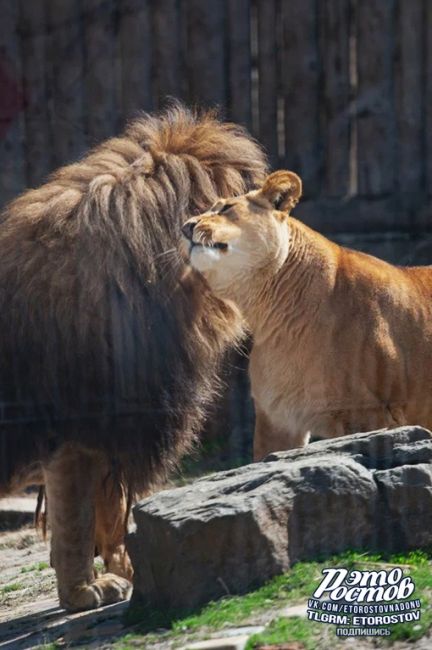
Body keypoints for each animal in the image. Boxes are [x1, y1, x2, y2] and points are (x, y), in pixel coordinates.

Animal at [0, 102, 266, 608]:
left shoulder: (120, 423)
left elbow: (110, 508)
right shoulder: (81, 428)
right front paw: (84, 591)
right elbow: (75, 518)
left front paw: (124, 570)